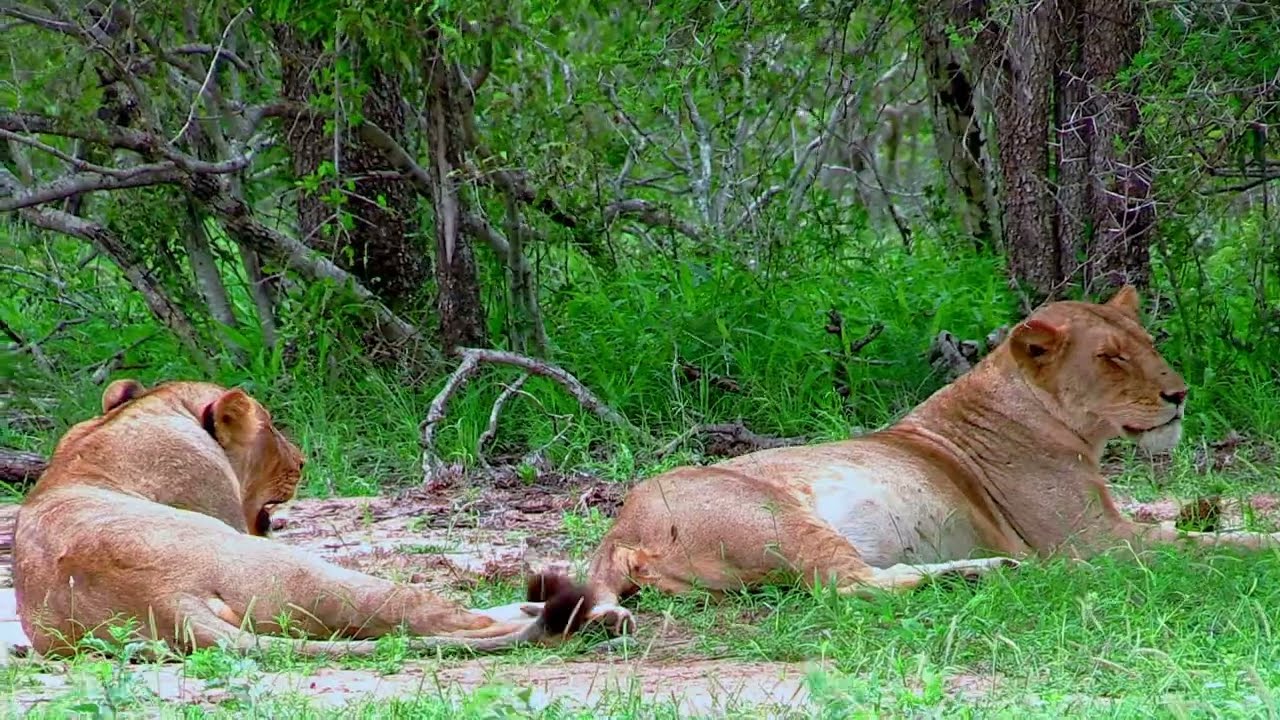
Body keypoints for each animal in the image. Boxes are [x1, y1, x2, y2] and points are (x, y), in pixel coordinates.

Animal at [14, 380, 627, 658]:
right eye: (273, 429)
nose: (304, 459)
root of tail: (166, 603)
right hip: (305, 571)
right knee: (445, 619)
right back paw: (597, 616)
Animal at [581, 286, 1279, 621]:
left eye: (1148, 343)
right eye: (1110, 358)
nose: (1180, 394)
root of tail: (620, 528)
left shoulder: (1110, 529)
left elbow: (1195, 528)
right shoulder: (1094, 544)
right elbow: (1212, 546)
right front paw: (1259, 543)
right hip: (779, 516)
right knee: (848, 585)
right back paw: (986, 574)